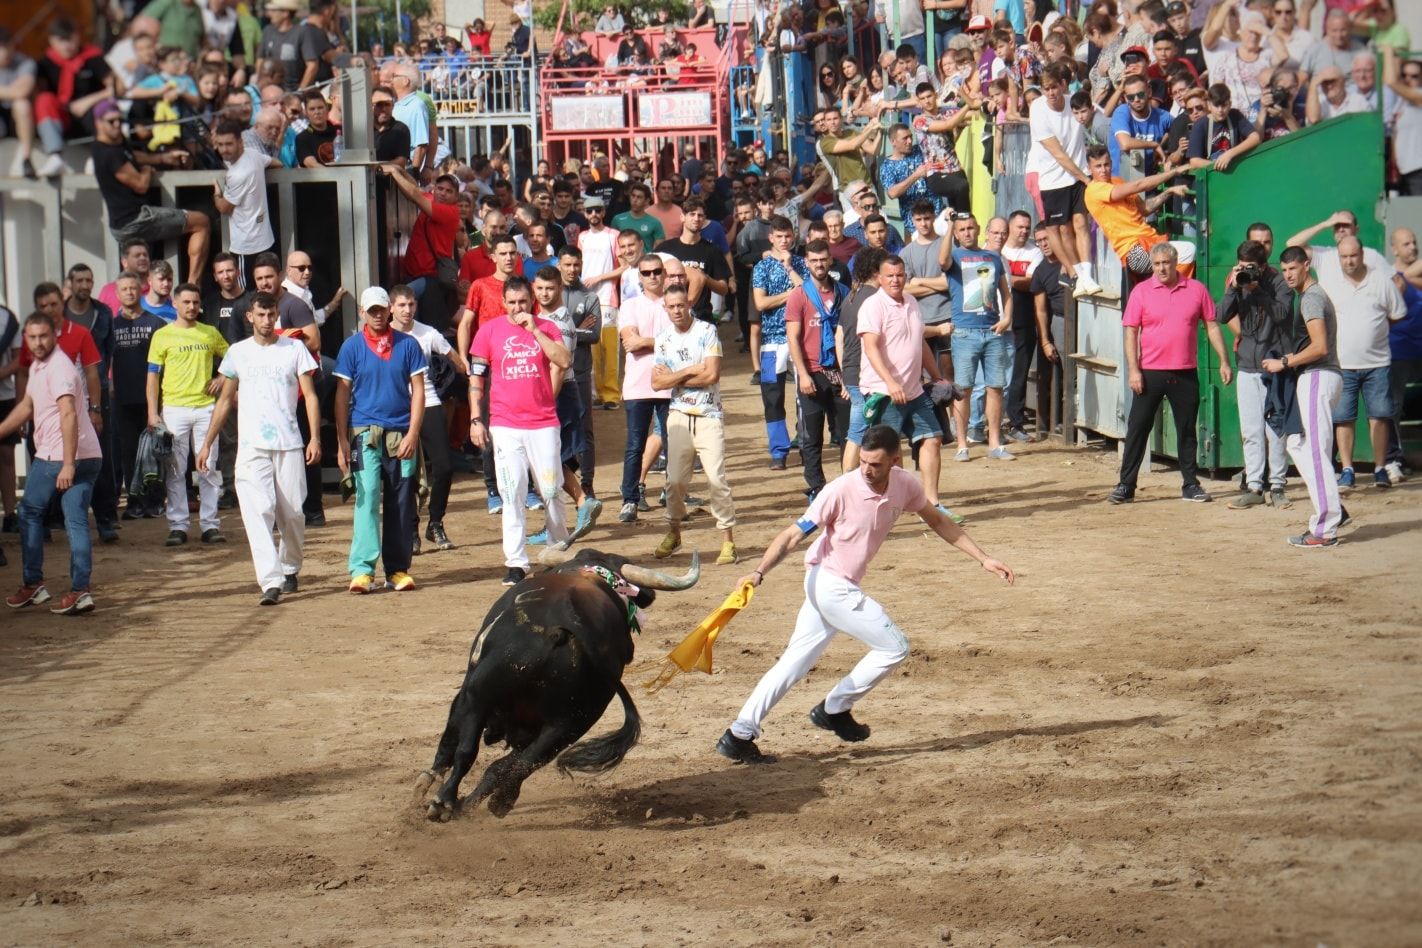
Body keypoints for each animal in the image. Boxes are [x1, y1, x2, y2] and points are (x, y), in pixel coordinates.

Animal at [412, 548, 699, 824]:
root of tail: (568, 628)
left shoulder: (466, 694)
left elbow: (450, 741)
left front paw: (426, 784)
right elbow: (505, 765)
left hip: (481, 697)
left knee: (467, 751)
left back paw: (445, 803)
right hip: (570, 725)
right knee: (524, 763)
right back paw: (494, 803)